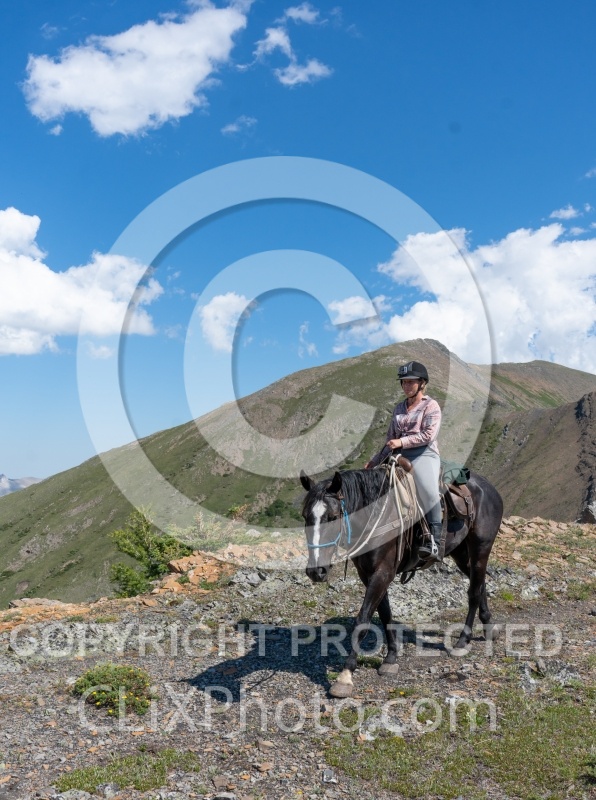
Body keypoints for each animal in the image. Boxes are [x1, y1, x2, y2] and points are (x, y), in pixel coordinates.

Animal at [300, 462, 503, 698]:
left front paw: (345, 676)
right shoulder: (368, 574)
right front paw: (390, 658)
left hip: (481, 547)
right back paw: (489, 626)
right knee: (478, 583)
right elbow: (385, 614)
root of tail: (488, 488)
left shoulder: (383, 572)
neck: (375, 515)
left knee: (473, 591)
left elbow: (363, 620)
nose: (316, 571)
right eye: (305, 516)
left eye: (333, 516)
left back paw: (463, 640)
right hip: (460, 552)